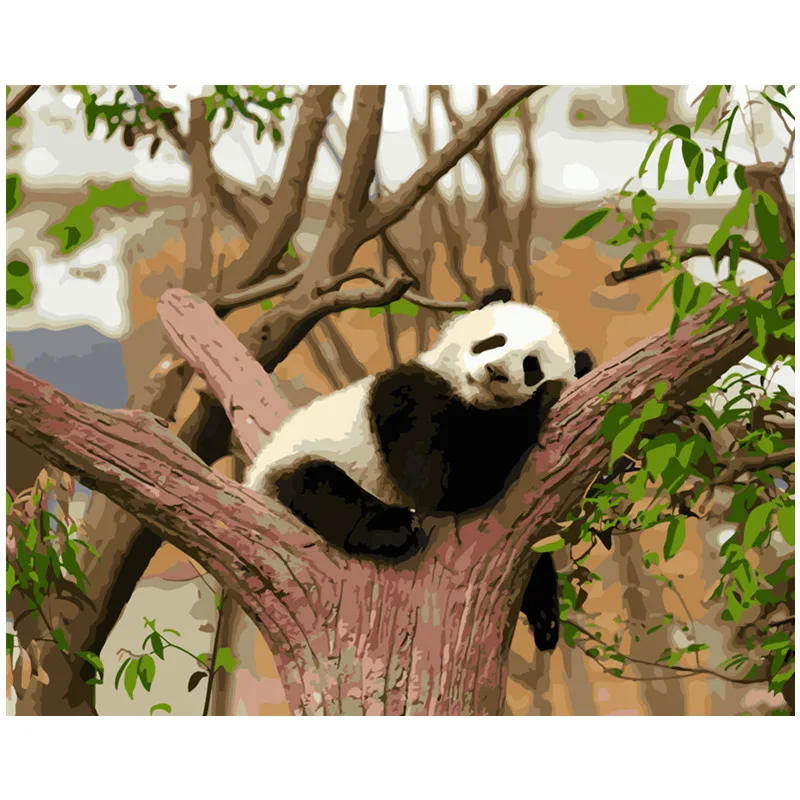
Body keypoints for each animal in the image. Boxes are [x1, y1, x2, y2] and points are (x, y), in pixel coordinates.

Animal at [246, 288, 593, 651]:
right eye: (493, 341)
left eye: (531, 366)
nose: (495, 370)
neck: (471, 401)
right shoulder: (406, 395)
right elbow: (438, 482)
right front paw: (544, 398)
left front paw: (544, 612)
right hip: (295, 460)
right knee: (323, 490)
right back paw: (393, 529)